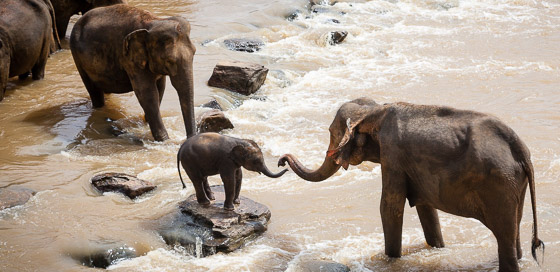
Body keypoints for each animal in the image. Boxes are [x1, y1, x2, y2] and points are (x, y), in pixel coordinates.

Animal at [70, 4, 197, 141]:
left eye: (194, 52)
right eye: (169, 60)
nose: (188, 138)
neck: (153, 21)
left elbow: (160, 88)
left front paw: (147, 121)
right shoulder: (129, 58)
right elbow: (147, 93)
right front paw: (164, 140)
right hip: (77, 57)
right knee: (94, 91)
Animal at [278, 98, 544, 272]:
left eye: (332, 132)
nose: (281, 160)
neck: (375, 110)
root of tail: (521, 150)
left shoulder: (393, 155)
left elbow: (389, 207)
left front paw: (390, 260)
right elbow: (426, 208)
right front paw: (437, 248)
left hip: (500, 185)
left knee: (505, 236)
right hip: (514, 186)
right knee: (514, 231)